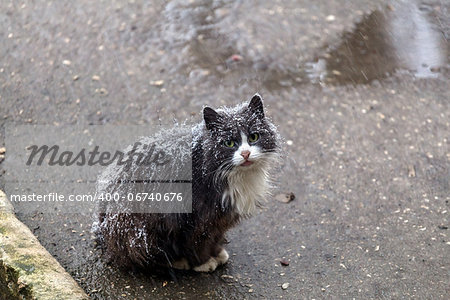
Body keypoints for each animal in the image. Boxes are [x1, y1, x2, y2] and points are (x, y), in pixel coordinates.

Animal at [94, 94, 282, 272]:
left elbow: (214, 238)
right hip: (143, 231)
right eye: (229, 143)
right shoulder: (198, 219)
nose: (245, 154)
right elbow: (197, 243)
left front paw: (217, 253)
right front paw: (203, 263)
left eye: (254, 137)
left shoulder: (220, 220)